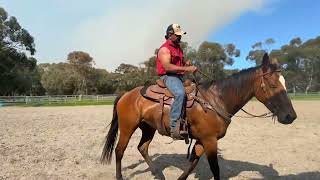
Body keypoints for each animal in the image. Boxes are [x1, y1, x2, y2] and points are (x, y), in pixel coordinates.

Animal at [100, 53, 298, 180]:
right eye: (273, 85)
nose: (291, 116)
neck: (216, 100)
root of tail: (126, 94)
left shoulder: (202, 141)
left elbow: (192, 164)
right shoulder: (210, 140)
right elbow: (215, 169)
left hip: (148, 128)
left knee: (142, 148)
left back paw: (158, 174)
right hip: (128, 127)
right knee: (119, 150)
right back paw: (120, 177)